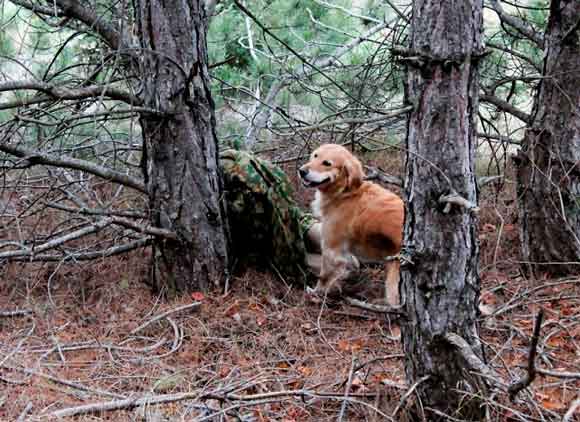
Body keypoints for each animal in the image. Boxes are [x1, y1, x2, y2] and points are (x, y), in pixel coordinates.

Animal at [300, 143, 404, 304]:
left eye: (327, 163)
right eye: (315, 156)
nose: (302, 171)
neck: (344, 192)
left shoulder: (331, 250)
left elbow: (324, 277)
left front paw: (317, 292)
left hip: (393, 282)